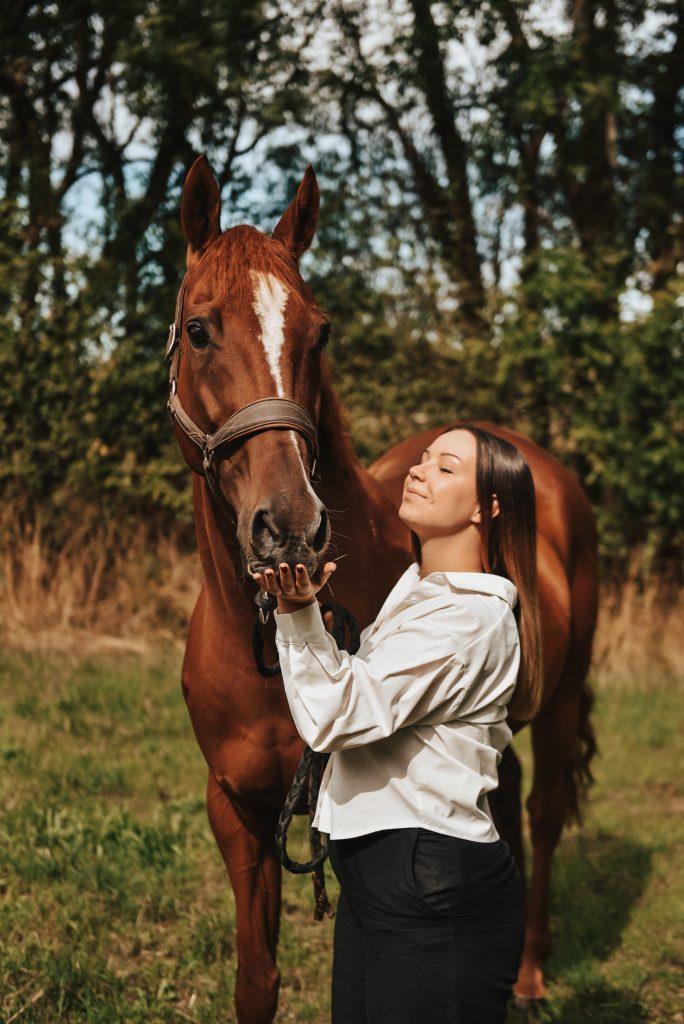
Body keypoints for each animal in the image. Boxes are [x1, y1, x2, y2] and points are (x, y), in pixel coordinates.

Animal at [168, 154, 598, 1023]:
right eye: (199, 329)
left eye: (320, 332)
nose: (291, 525)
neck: (262, 642)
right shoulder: (236, 811)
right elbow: (256, 983)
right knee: (504, 802)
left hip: (564, 700)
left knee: (542, 816)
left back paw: (532, 972)